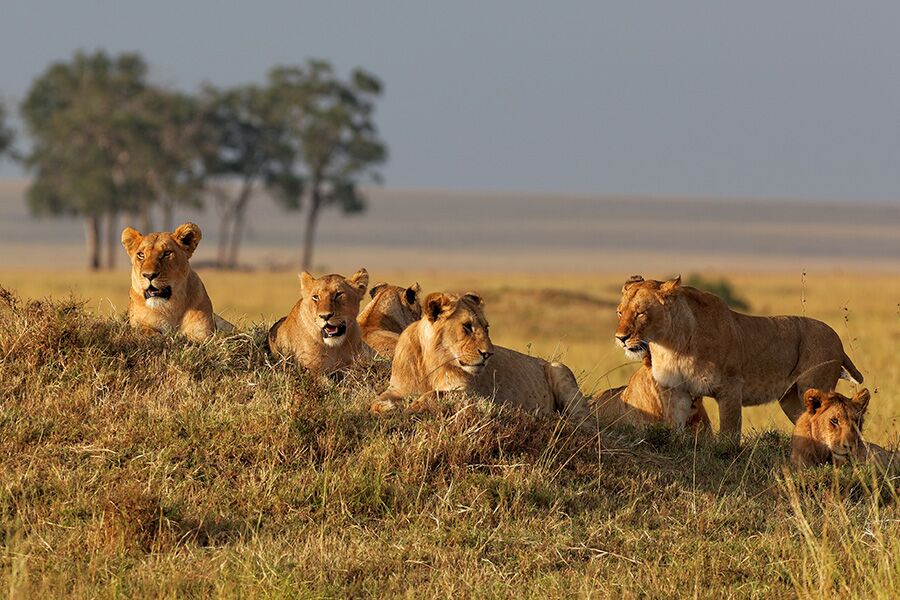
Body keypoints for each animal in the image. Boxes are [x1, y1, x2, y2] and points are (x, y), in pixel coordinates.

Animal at [370, 291, 593, 428]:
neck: (430, 364)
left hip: (559, 369)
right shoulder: (398, 388)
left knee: (585, 422)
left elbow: (434, 394)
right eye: (467, 327)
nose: (488, 354)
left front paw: (413, 407)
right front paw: (387, 408)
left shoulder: (472, 395)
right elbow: (376, 401)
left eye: (486, 327)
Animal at [614, 276, 863, 439]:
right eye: (620, 312)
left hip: (813, 386)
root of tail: (837, 338)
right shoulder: (677, 391)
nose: (621, 338)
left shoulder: (730, 388)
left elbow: (729, 434)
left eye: (640, 313)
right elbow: (675, 426)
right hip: (791, 399)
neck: (671, 346)